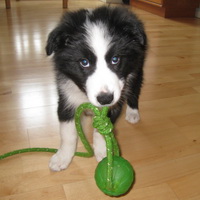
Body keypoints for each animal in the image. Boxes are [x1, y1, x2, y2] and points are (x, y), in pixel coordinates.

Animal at [46, 6, 148, 172]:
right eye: (84, 62)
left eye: (115, 59)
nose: (105, 99)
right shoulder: (66, 96)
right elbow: (67, 132)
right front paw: (62, 157)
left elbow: (102, 129)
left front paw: (103, 152)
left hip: (137, 67)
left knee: (134, 89)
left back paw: (133, 112)